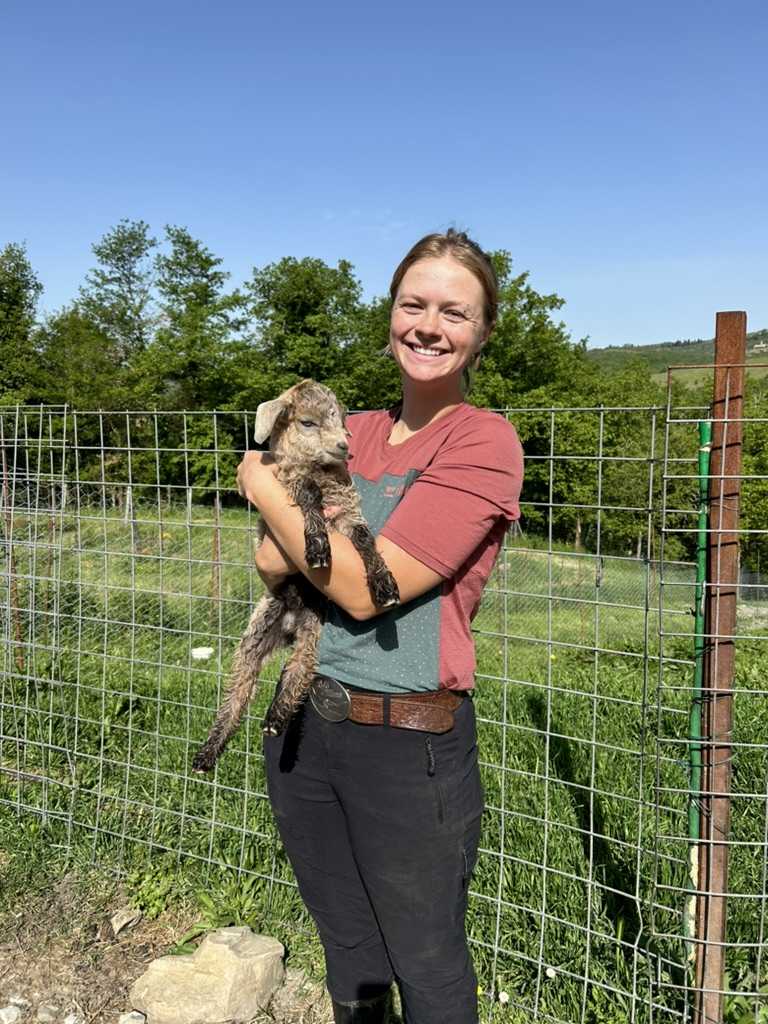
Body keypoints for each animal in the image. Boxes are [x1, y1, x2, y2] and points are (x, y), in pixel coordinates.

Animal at [191, 380, 403, 770]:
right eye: (307, 422)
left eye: (338, 417)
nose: (343, 446)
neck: (318, 468)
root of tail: (288, 627)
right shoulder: (288, 482)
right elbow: (308, 493)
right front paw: (318, 546)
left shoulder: (348, 511)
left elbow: (365, 540)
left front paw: (384, 585)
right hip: (254, 637)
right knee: (237, 693)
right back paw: (208, 751)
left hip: (311, 633)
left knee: (298, 673)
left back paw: (275, 719)